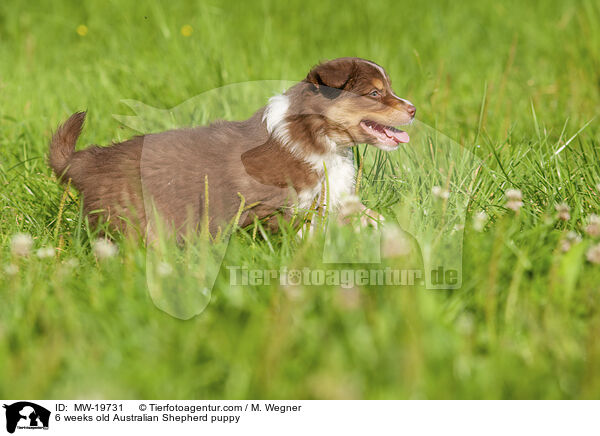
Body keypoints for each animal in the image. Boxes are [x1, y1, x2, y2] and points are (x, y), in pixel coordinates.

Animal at [49, 57, 414, 238]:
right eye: (374, 94)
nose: (413, 110)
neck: (317, 137)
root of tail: (87, 159)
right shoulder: (272, 208)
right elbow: (304, 232)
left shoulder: (335, 195)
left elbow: (372, 216)